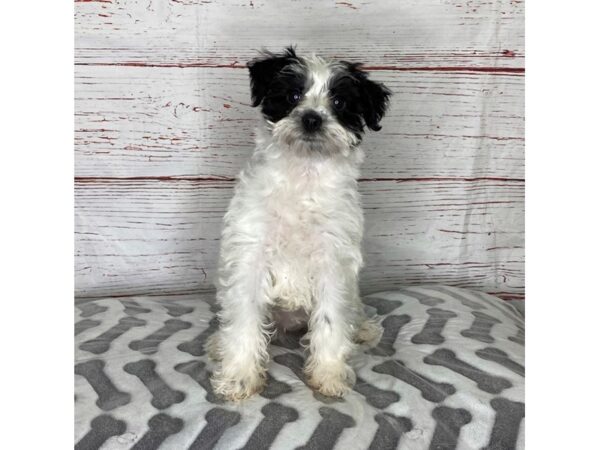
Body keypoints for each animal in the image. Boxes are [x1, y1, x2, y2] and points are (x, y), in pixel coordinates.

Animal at [209, 47, 392, 400]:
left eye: (340, 102)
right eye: (293, 95)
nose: (311, 118)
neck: (303, 176)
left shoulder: (333, 263)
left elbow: (332, 320)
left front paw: (329, 374)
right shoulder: (250, 258)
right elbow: (244, 321)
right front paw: (240, 376)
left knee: (352, 309)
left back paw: (361, 328)